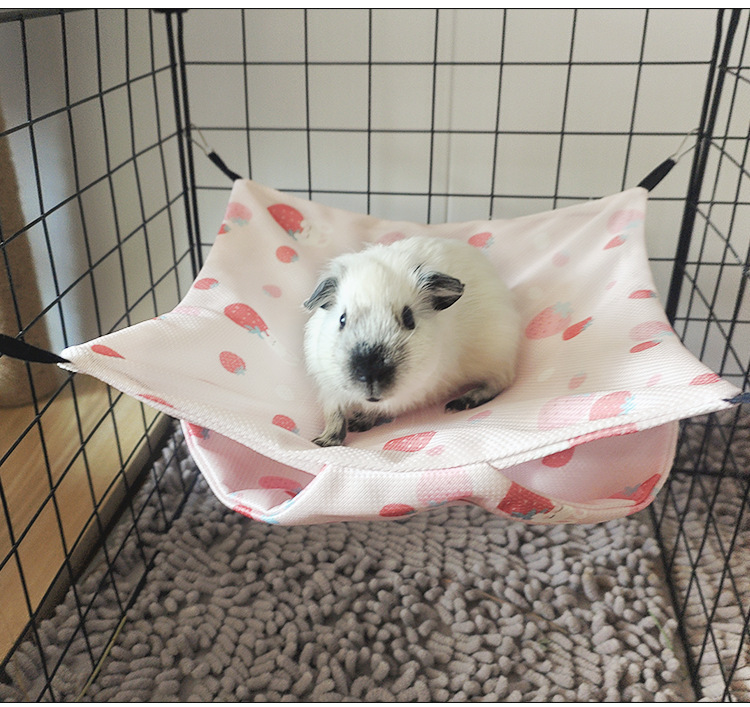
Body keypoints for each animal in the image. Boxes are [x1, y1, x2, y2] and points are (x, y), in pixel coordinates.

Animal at [302, 235, 520, 447]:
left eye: (409, 319)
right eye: (342, 319)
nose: (370, 374)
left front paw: (357, 423)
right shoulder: (329, 388)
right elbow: (335, 415)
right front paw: (323, 442)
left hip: (497, 357)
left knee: (500, 382)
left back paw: (458, 403)